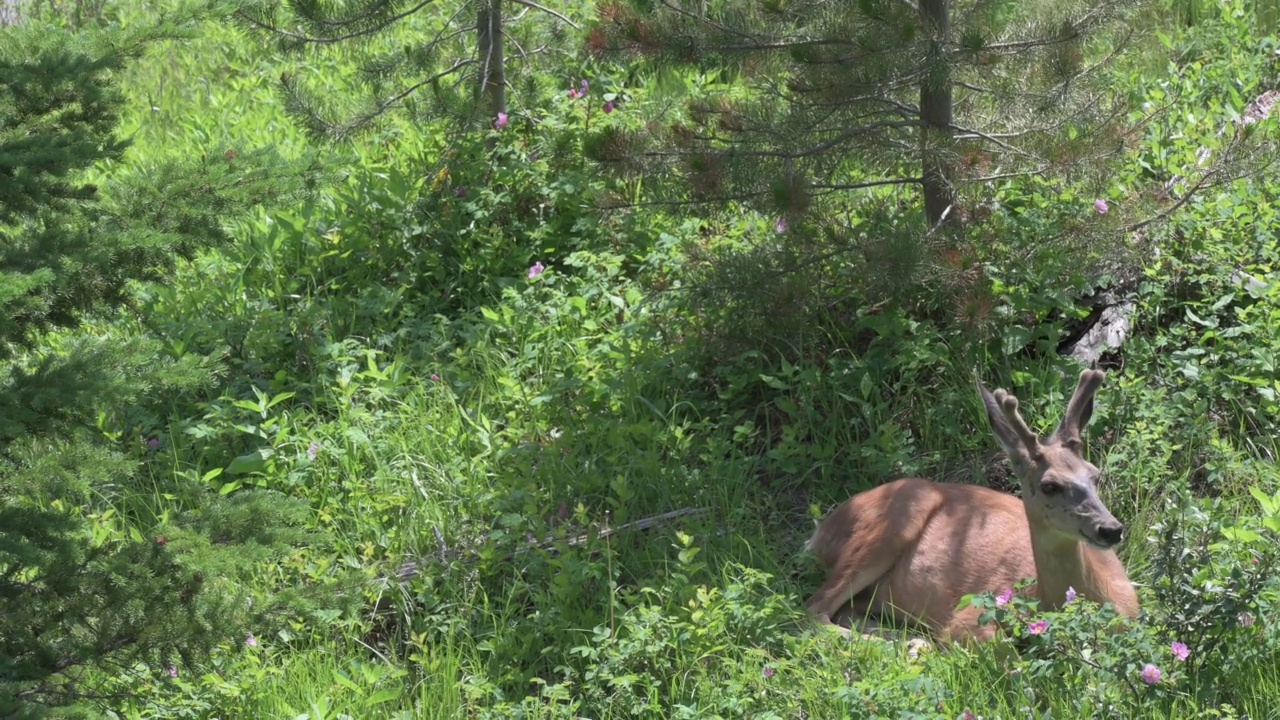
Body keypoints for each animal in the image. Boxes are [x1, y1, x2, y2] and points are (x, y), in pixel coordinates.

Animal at [798, 366, 1141, 640]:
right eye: (1049, 486)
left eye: (1095, 475)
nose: (1111, 529)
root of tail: (820, 531)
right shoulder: (977, 610)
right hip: (894, 521)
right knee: (814, 609)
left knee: (845, 611)